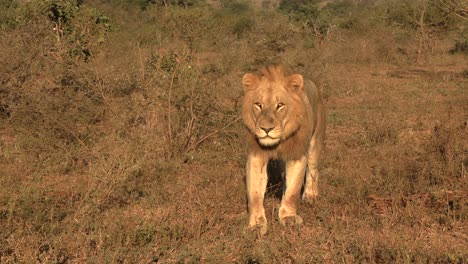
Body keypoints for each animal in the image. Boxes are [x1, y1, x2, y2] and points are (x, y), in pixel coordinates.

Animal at [241, 63, 326, 235]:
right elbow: (254, 193)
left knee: (313, 169)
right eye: (258, 104)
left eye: (280, 105)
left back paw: (311, 195)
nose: (266, 129)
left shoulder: (297, 154)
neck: (278, 143)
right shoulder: (256, 155)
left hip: (316, 140)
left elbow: (293, 190)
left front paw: (288, 217)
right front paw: (256, 225)